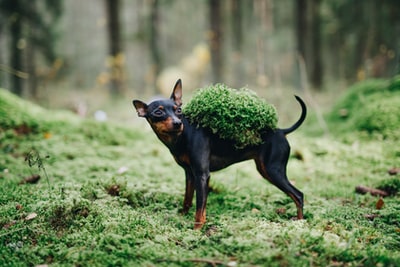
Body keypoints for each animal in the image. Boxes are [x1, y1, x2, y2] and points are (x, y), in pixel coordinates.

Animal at [132, 79, 306, 230]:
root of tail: (282, 131)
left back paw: (299, 223)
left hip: (273, 170)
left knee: (298, 195)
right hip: (265, 170)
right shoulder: (190, 174)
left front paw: (197, 230)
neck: (182, 136)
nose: (177, 123)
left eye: (179, 110)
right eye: (158, 112)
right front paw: (182, 216)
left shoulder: (202, 175)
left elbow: (200, 208)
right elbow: (187, 199)